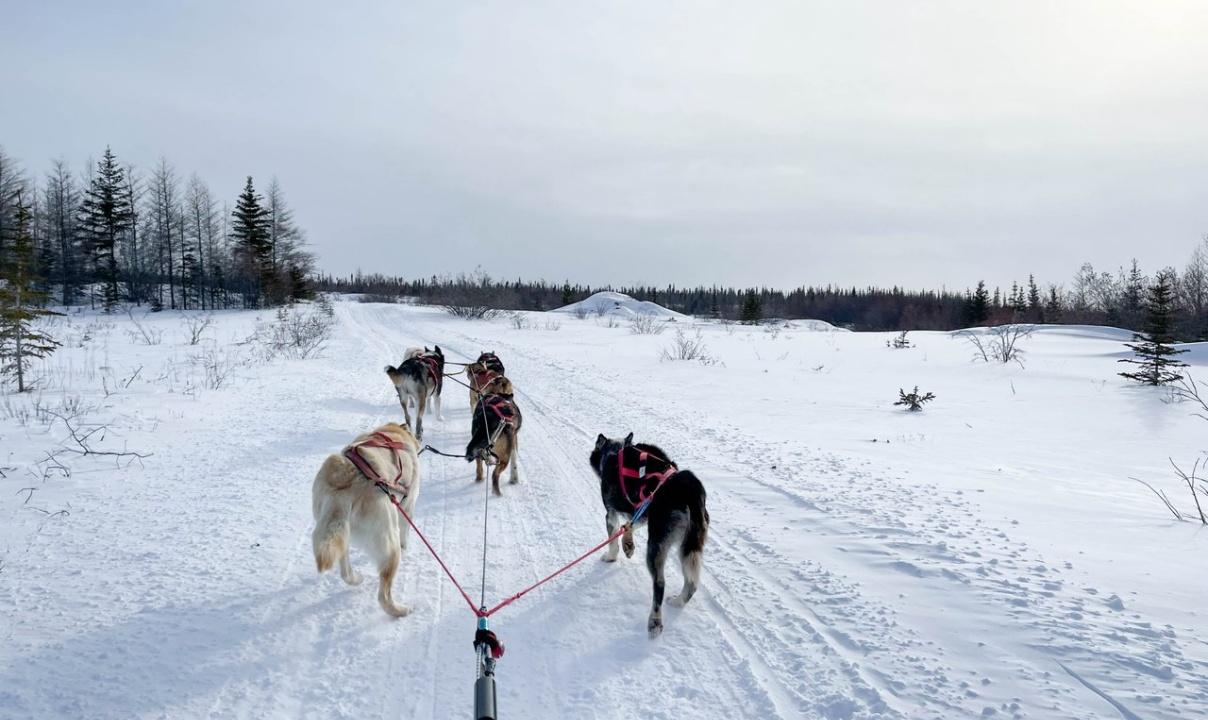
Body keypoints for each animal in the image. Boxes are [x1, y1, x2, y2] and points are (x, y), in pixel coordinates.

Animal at [311, 422, 420, 618]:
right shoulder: (407, 506)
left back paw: (356, 578)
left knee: (345, 572)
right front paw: (406, 547)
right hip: (389, 543)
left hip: (339, 533)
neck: (392, 433)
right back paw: (401, 610)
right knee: (384, 596)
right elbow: (405, 533)